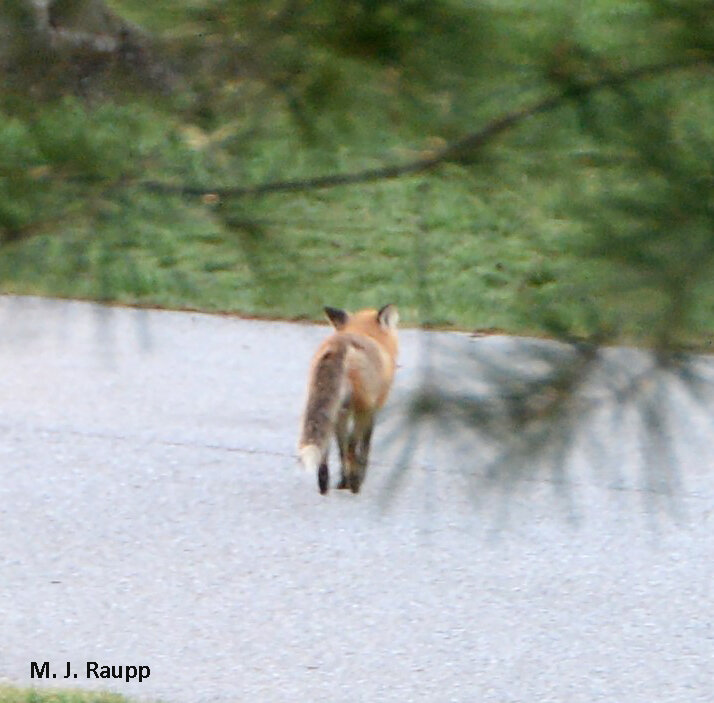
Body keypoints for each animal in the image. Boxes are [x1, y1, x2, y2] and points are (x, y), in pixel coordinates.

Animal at [298, 306, 398, 498]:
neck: (364, 333)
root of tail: (340, 343)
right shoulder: (371, 409)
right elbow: (363, 448)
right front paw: (354, 479)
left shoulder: (342, 412)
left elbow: (341, 448)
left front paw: (342, 482)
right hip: (360, 408)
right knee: (352, 446)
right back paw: (355, 483)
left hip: (329, 408)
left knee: (327, 452)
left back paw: (324, 485)